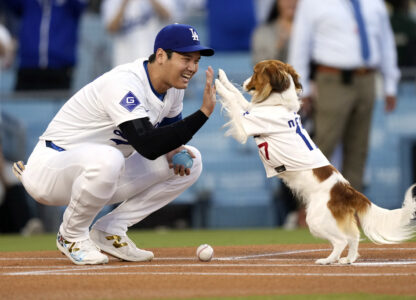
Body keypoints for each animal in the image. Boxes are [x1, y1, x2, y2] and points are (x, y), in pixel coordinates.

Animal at [214, 59, 416, 264]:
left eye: (255, 72)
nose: (245, 82)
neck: (279, 104)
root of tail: (347, 190)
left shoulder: (244, 126)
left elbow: (233, 101)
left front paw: (217, 86)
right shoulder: (250, 111)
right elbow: (237, 95)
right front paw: (223, 78)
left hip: (316, 220)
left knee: (341, 240)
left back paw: (328, 260)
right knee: (354, 237)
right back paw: (348, 259)